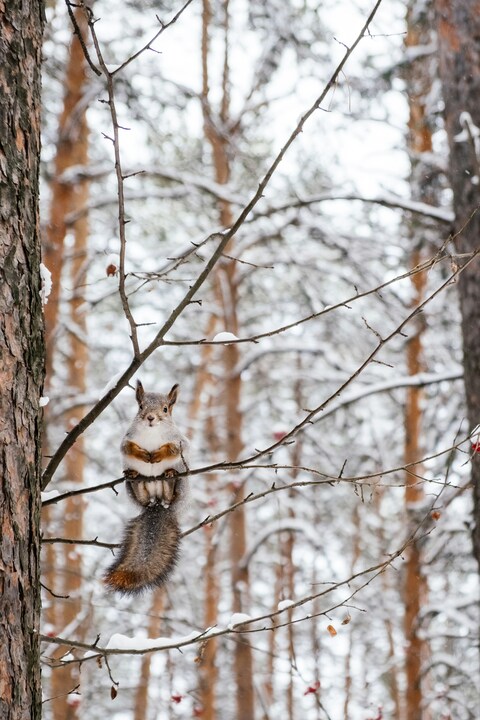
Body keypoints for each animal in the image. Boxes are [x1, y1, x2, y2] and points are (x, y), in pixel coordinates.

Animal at [104, 380, 190, 595]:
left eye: (165, 409)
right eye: (141, 406)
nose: (151, 418)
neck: (152, 433)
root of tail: (157, 504)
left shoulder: (180, 441)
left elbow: (175, 448)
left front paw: (158, 454)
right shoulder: (126, 439)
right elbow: (127, 448)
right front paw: (142, 454)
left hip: (180, 487)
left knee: (169, 493)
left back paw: (169, 476)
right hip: (134, 490)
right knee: (140, 491)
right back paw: (135, 476)